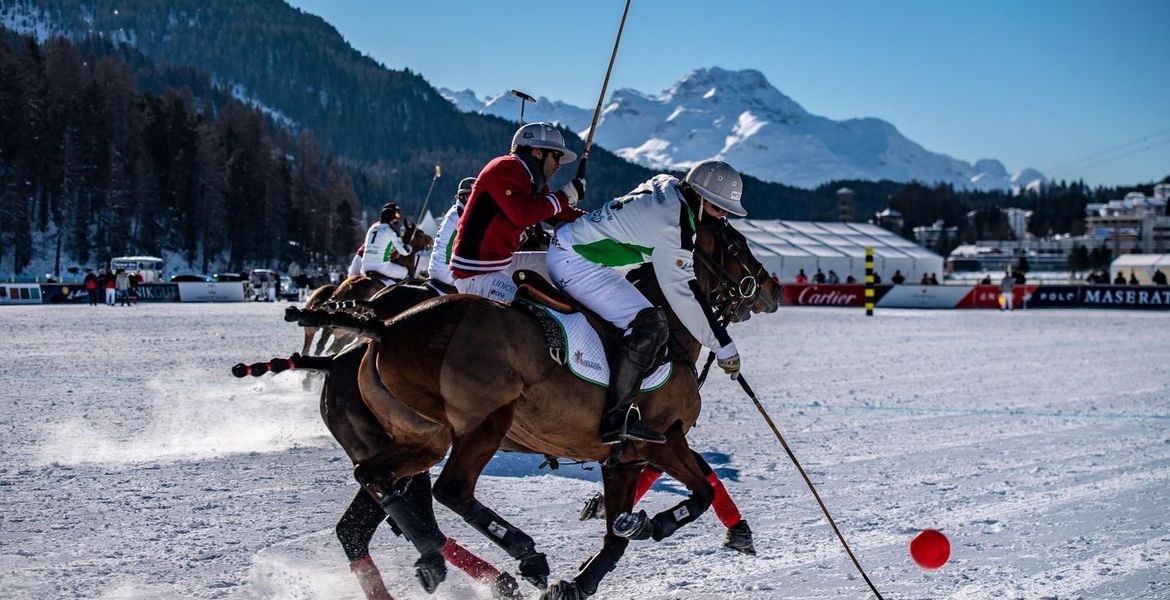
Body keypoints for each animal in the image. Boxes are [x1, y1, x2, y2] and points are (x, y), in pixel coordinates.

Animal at [311, 217, 781, 596]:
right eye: (738, 244)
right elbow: (700, 489)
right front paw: (660, 523)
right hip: (486, 421)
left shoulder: (624, 459)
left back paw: (436, 560)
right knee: (450, 490)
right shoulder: (664, 438)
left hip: (422, 439)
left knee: (371, 490)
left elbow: (617, 536)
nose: (773, 289)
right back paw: (521, 557)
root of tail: (384, 327)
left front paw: (583, 578)